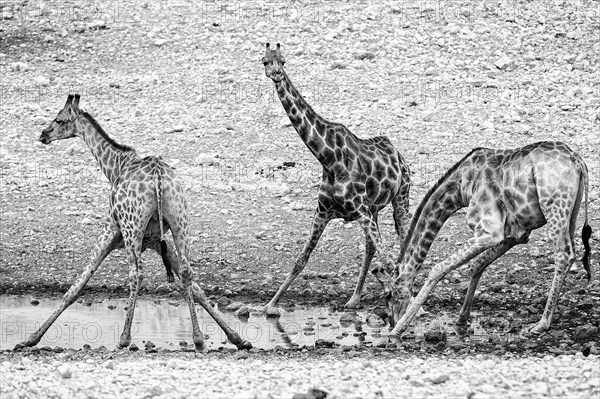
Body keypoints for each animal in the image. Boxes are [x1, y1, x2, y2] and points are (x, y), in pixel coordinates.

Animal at [16, 94, 251, 350]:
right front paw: (237, 338)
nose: (43, 135)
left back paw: (124, 338)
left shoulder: (111, 231)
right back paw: (198, 339)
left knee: (136, 274)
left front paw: (30, 339)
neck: (115, 166)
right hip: (180, 221)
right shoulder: (156, 240)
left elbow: (76, 286)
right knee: (187, 271)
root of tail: (158, 177)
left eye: (58, 120)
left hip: (132, 229)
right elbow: (195, 287)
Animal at [262, 42, 412, 314]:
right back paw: (355, 298)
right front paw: (270, 305)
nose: (276, 74)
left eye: (284, 61)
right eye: (265, 61)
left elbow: (387, 261)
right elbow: (301, 260)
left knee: (403, 239)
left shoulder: (360, 210)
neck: (328, 159)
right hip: (374, 209)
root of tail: (398, 153)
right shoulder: (323, 212)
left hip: (400, 197)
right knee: (370, 247)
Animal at [372, 142, 592, 336]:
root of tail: (579, 162)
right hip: (572, 212)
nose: (390, 323)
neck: (461, 187)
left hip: (554, 205)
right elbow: (478, 264)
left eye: (388, 295)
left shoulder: (490, 231)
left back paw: (541, 324)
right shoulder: (515, 234)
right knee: (570, 251)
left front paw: (399, 330)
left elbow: (438, 268)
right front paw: (461, 318)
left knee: (564, 254)